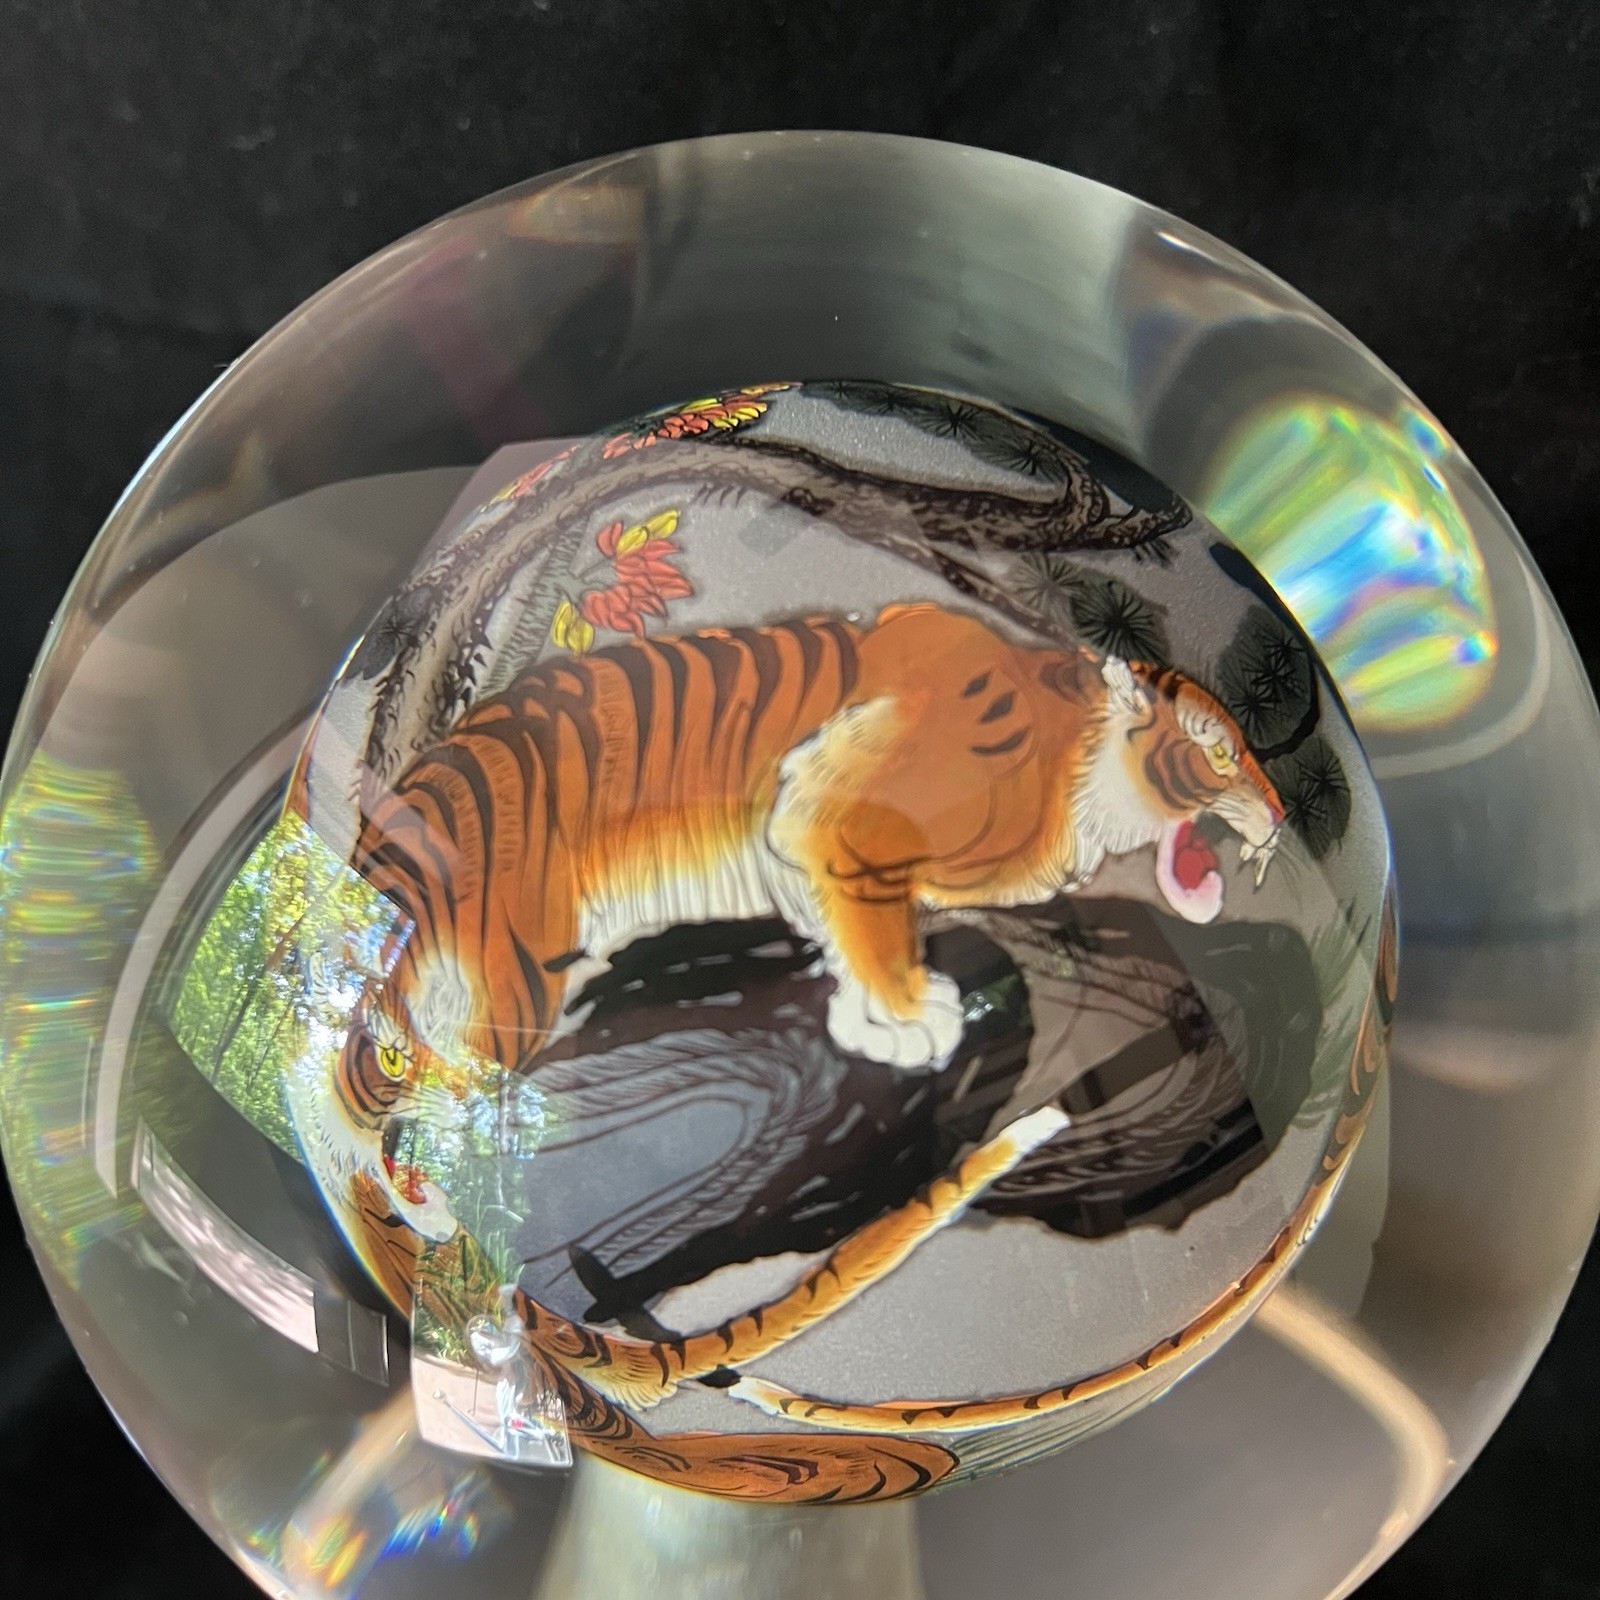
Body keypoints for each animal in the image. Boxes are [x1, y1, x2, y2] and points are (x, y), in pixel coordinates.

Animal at [282, 599, 1288, 1482]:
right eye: (1217, 751)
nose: (1279, 822)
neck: (1083, 758)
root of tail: (423, 792)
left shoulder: (819, 857)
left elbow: (847, 934)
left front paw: (869, 1021)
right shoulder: (849, 821)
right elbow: (876, 929)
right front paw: (917, 1016)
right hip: (516, 970)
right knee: (422, 1108)